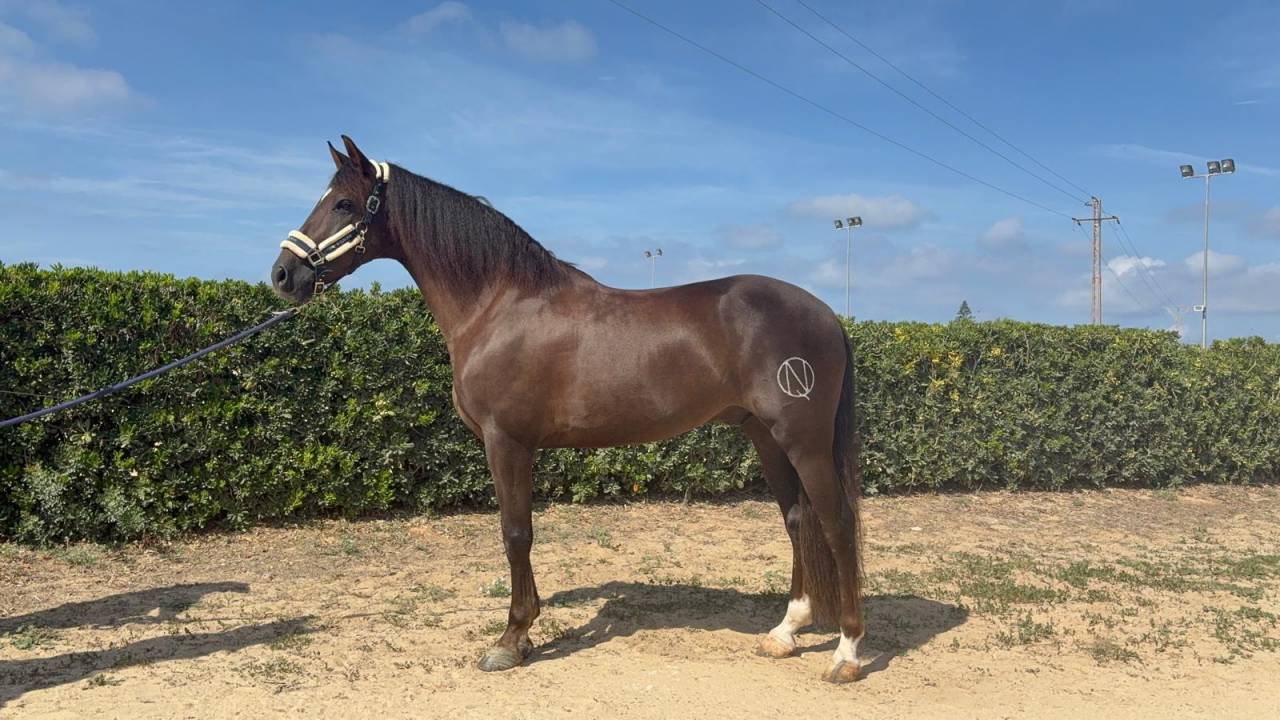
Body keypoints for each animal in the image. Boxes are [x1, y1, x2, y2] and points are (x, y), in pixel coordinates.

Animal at [270, 137, 866, 684]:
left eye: (344, 204)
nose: (282, 275)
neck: (498, 305)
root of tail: (827, 315)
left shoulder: (507, 443)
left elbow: (516, 534)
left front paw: (512, 639)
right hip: (766, 436)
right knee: (797, 520)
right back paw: (786, 632)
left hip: (803, 440)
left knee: (836, 523)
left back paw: (847, 652)